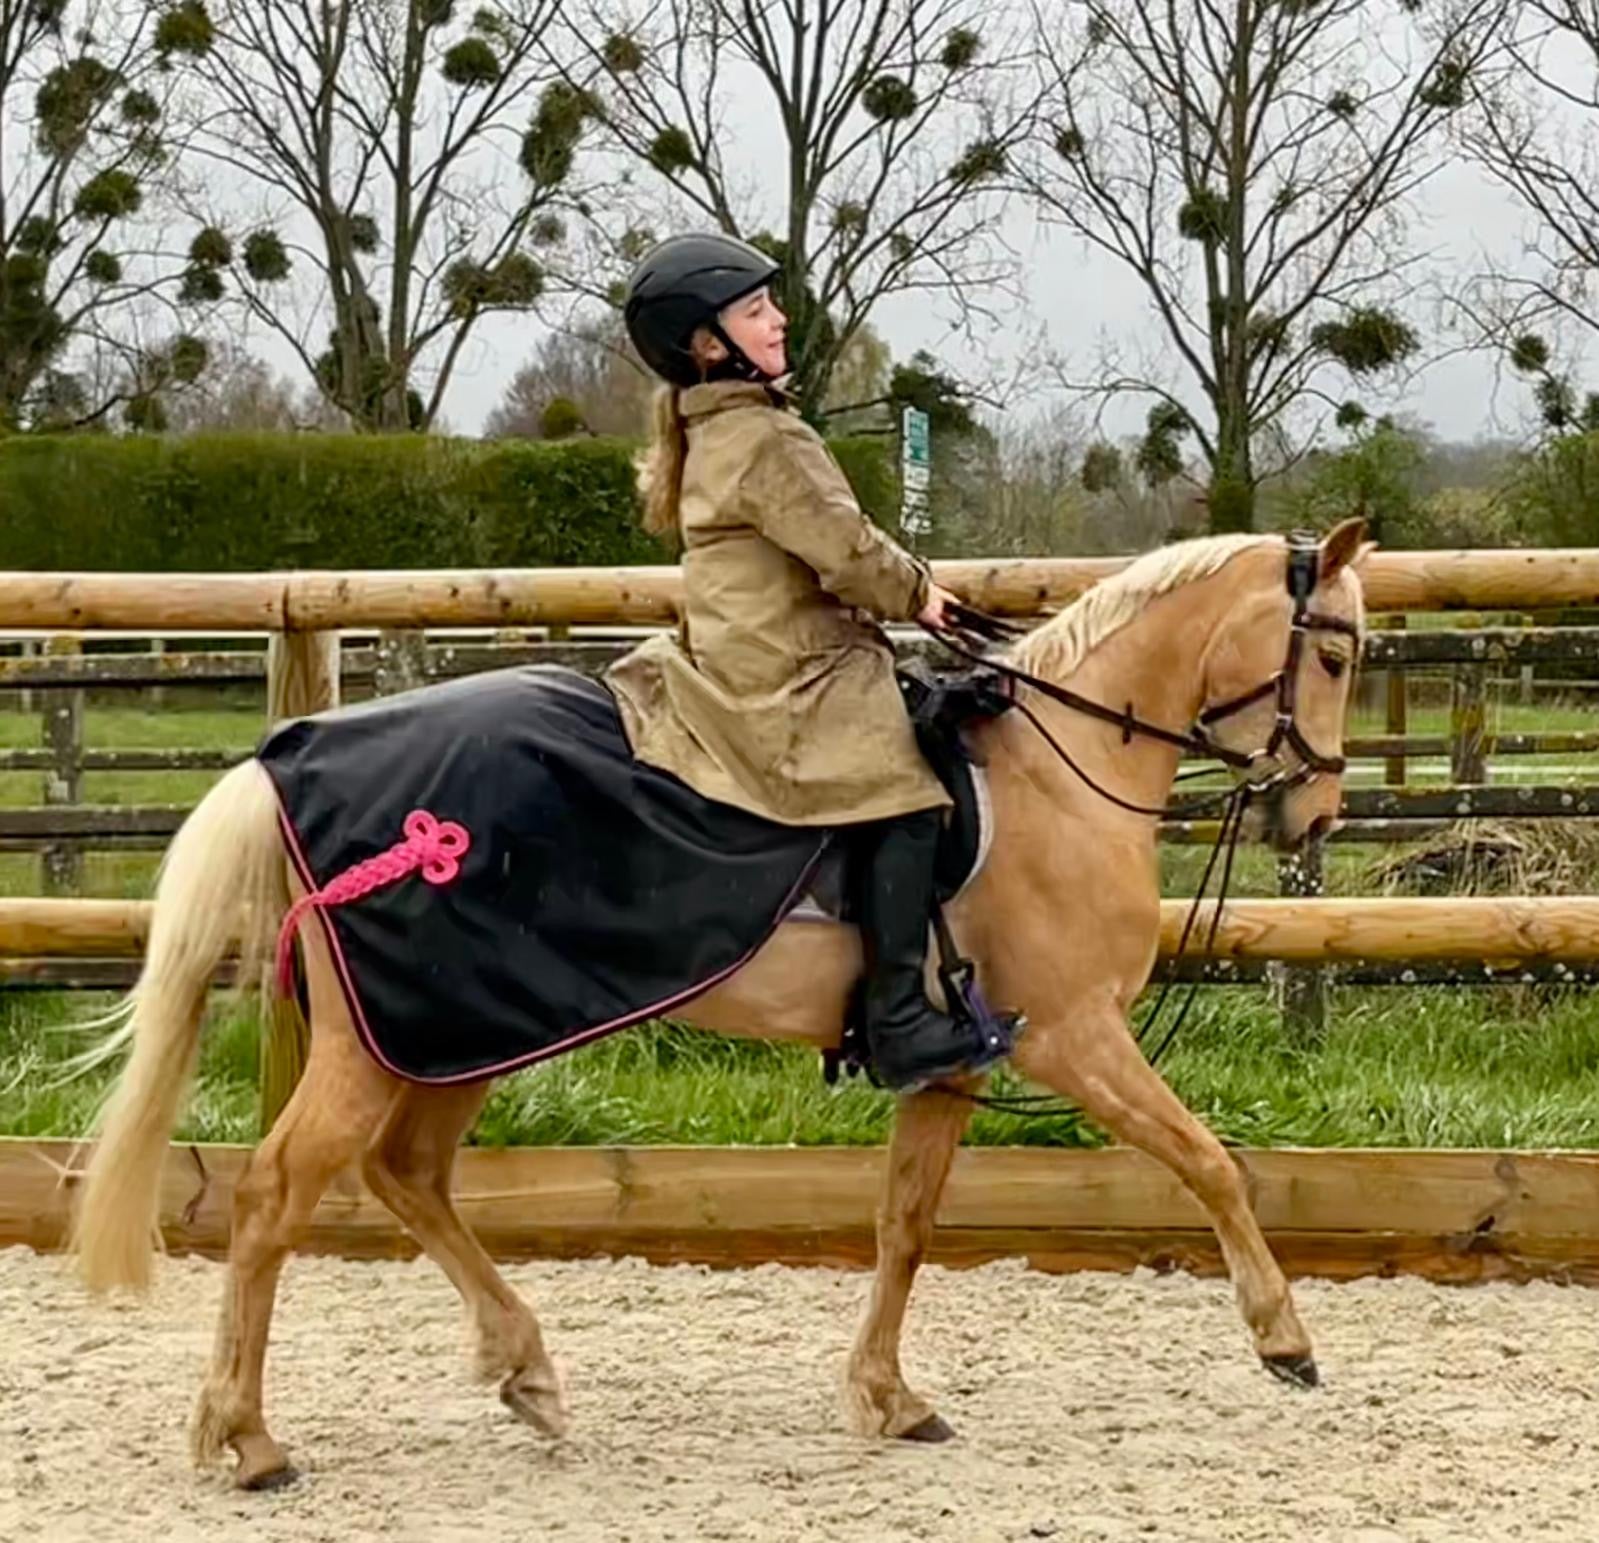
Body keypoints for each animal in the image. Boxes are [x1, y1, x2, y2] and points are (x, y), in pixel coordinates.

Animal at [69, 519, 1369, 1490]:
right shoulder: (1075, 1035)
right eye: (1339, 655)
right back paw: (249, 1440)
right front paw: (1285, 1338)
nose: (1314, 814)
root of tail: (291, 757)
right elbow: (1209, 1163)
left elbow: (905, 1224)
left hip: (461, 1032)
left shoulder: (952, 1061)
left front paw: (889, 1397)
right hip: (396, 1040)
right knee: (278, 1194)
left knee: (408, 1173)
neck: (1059, 774)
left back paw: (525, 1371)